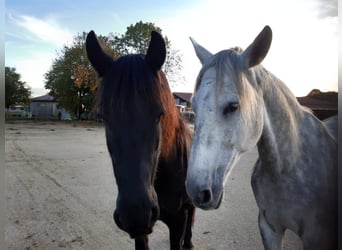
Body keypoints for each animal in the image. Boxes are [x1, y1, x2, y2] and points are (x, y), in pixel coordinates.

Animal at [184, 26, 336, 249]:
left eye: (233, 106)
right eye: (193, 107)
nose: (196, 191)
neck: (288, 166)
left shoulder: (317, 237)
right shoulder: (269, 227)